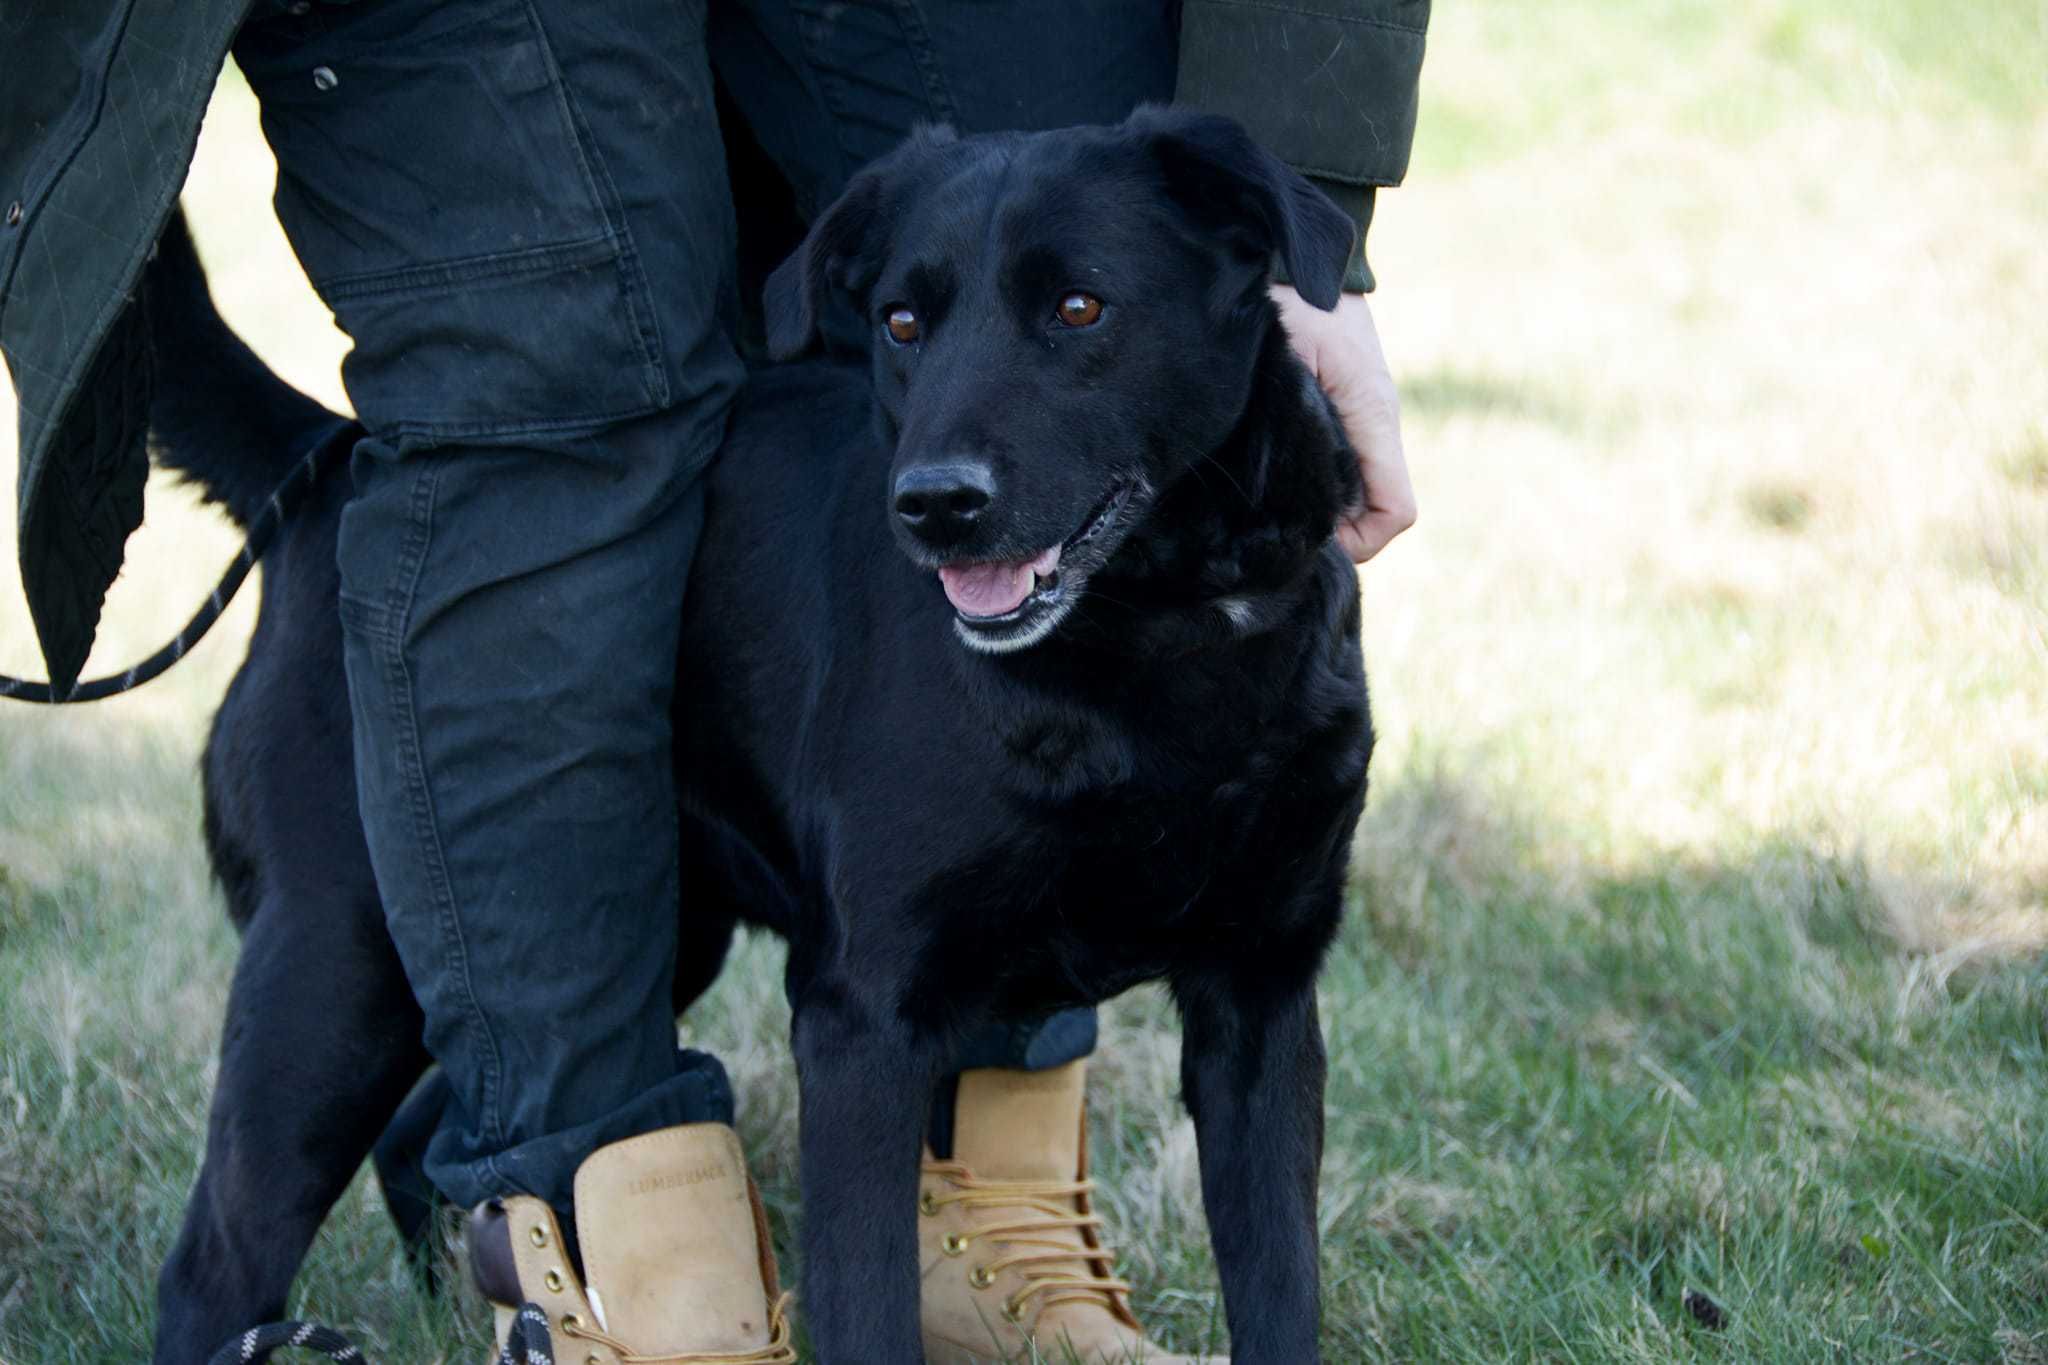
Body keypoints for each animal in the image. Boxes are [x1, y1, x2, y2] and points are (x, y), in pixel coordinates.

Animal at [148, 109, 1376, 1365]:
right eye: (900, 322)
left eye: (1080, 308)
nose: (933, 505)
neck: (1148, 642)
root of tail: (331, 456)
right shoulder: (861, 1015)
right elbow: (866, 1302)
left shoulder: (1261, 997)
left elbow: (1279, 1286)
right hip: (337, 959)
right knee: (211, 1265)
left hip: (639, 930)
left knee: (439, 1136)